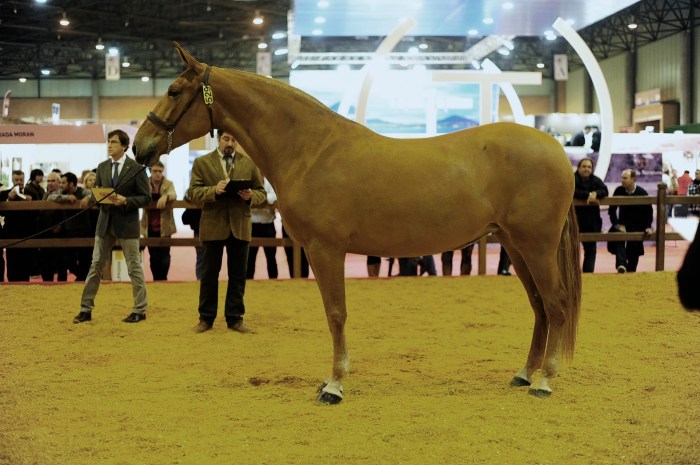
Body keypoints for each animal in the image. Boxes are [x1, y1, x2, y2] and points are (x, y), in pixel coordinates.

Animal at [133, 43, 581, 404]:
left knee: (556, 304)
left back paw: (545, 380)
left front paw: (334, 385)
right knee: (539, 307)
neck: (311, 150)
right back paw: (524, 374)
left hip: (536, 246)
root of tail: (555, 150)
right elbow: (333, 312)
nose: (140, 148)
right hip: (514, 245)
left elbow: (336, 313)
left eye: (174, 92)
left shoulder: (325, 249)